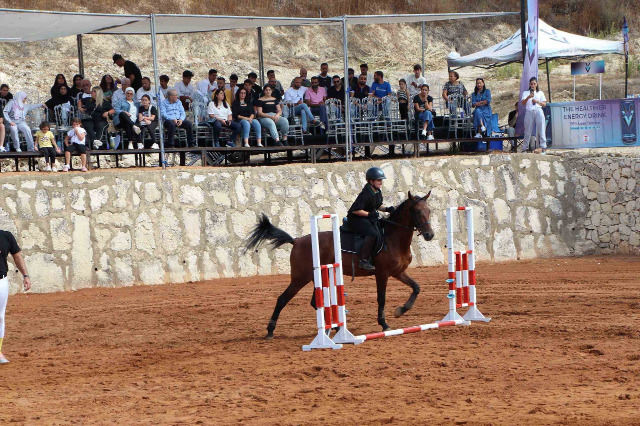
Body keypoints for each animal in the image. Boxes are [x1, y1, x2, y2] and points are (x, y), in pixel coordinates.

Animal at [245, 191, 436, 338]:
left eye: (429, 211)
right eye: (417, 211)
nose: (429, 235)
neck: (393, 238)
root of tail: (296, 241)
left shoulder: (398, 272)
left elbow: (416, 287)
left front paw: (402, 309)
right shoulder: (382, 274)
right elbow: (381, 298)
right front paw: (384, 324)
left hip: (317, 277)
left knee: (314, 302)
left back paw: (335, 327)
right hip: (301, 278)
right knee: (283, 299)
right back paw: (270, 330)